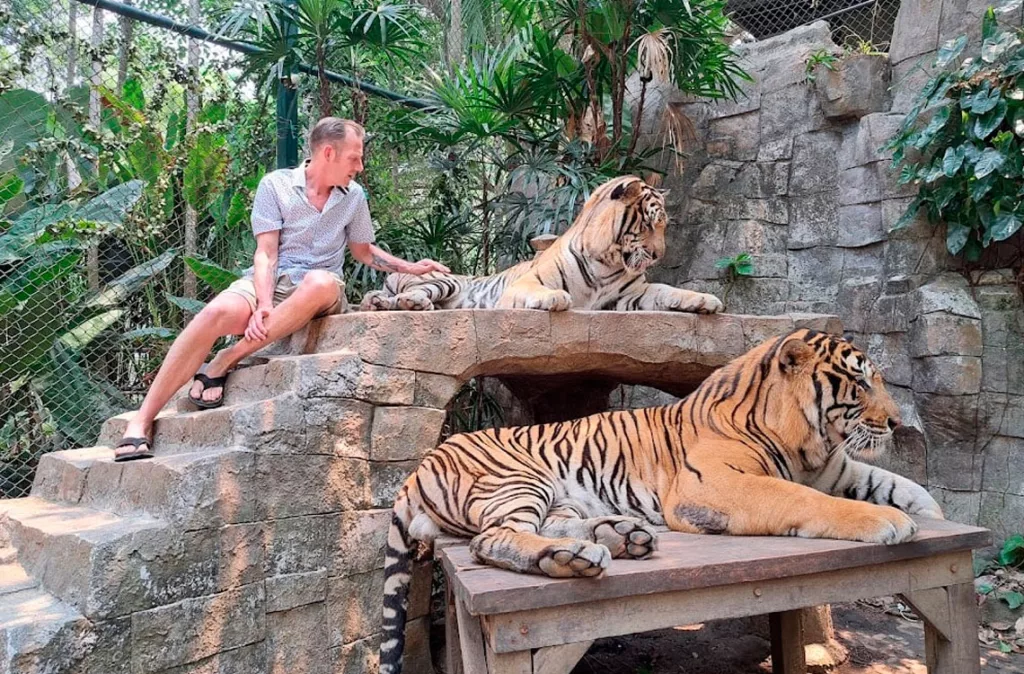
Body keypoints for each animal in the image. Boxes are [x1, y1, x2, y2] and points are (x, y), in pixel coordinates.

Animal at [360, 175, 724, 313]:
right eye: (649, 223)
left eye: (663, 225)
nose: (659, 254)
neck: (608, 260)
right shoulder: (523, 283)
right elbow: (543, 291)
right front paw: (555, 298)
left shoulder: (630, 296)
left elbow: (665, 290)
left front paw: (704, 300)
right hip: (445, 281)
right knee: (414, 294)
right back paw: (410, 303)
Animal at [378, 328, 943, 674]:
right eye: (860, 381)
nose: (896, 423)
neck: (809, 442)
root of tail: (422, 463)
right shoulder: (713, 484)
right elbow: (805, 498)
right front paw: (888, 521)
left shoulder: (838, 468)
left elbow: (899, 483)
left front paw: (930, 512)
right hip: (518, 480)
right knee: (492, 540)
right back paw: (580, 558)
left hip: (557, 497)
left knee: (549, 526)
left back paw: (621, 537)